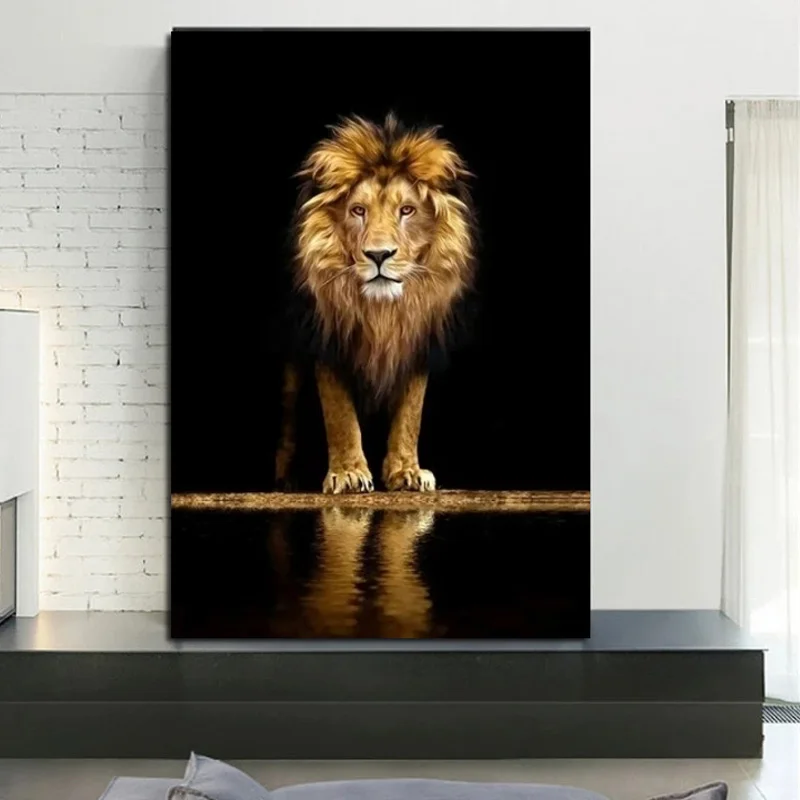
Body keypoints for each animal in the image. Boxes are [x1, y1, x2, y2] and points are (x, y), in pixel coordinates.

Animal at [274, 112, 478, 495]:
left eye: (407, 210)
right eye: (358, 211)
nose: (379, 255)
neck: (382, 311)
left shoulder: (417, 340)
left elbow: (411, 413)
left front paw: (407, 471)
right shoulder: (328, 340)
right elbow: (339, 413)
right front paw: (348, 473)